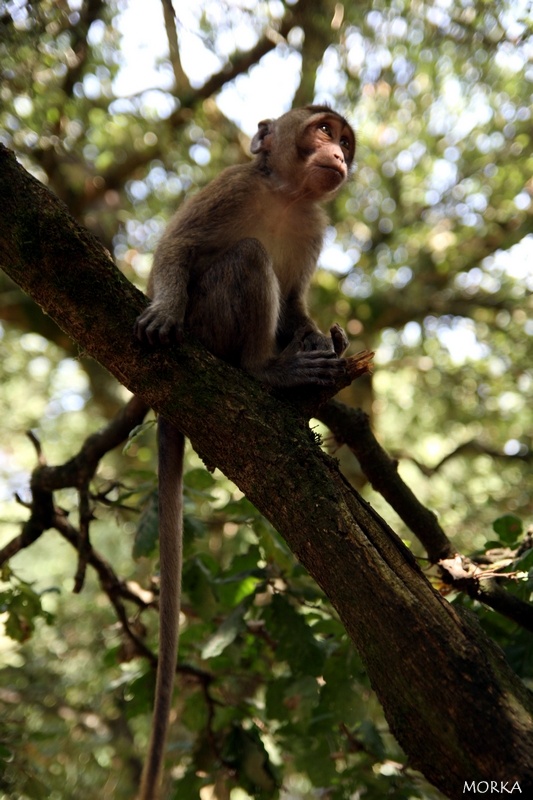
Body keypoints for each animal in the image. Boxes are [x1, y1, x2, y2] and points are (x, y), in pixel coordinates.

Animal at [135, 106, 356, 800]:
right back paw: (265, 371)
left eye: (345, 139)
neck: (286, 196)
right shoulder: (231, 187)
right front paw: (163, 307)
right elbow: (177, 247)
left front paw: (322, 340)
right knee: (248, 259)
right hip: (211, 323)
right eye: (321, 129)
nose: (339, 154)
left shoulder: (314, 226)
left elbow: (300, 303)